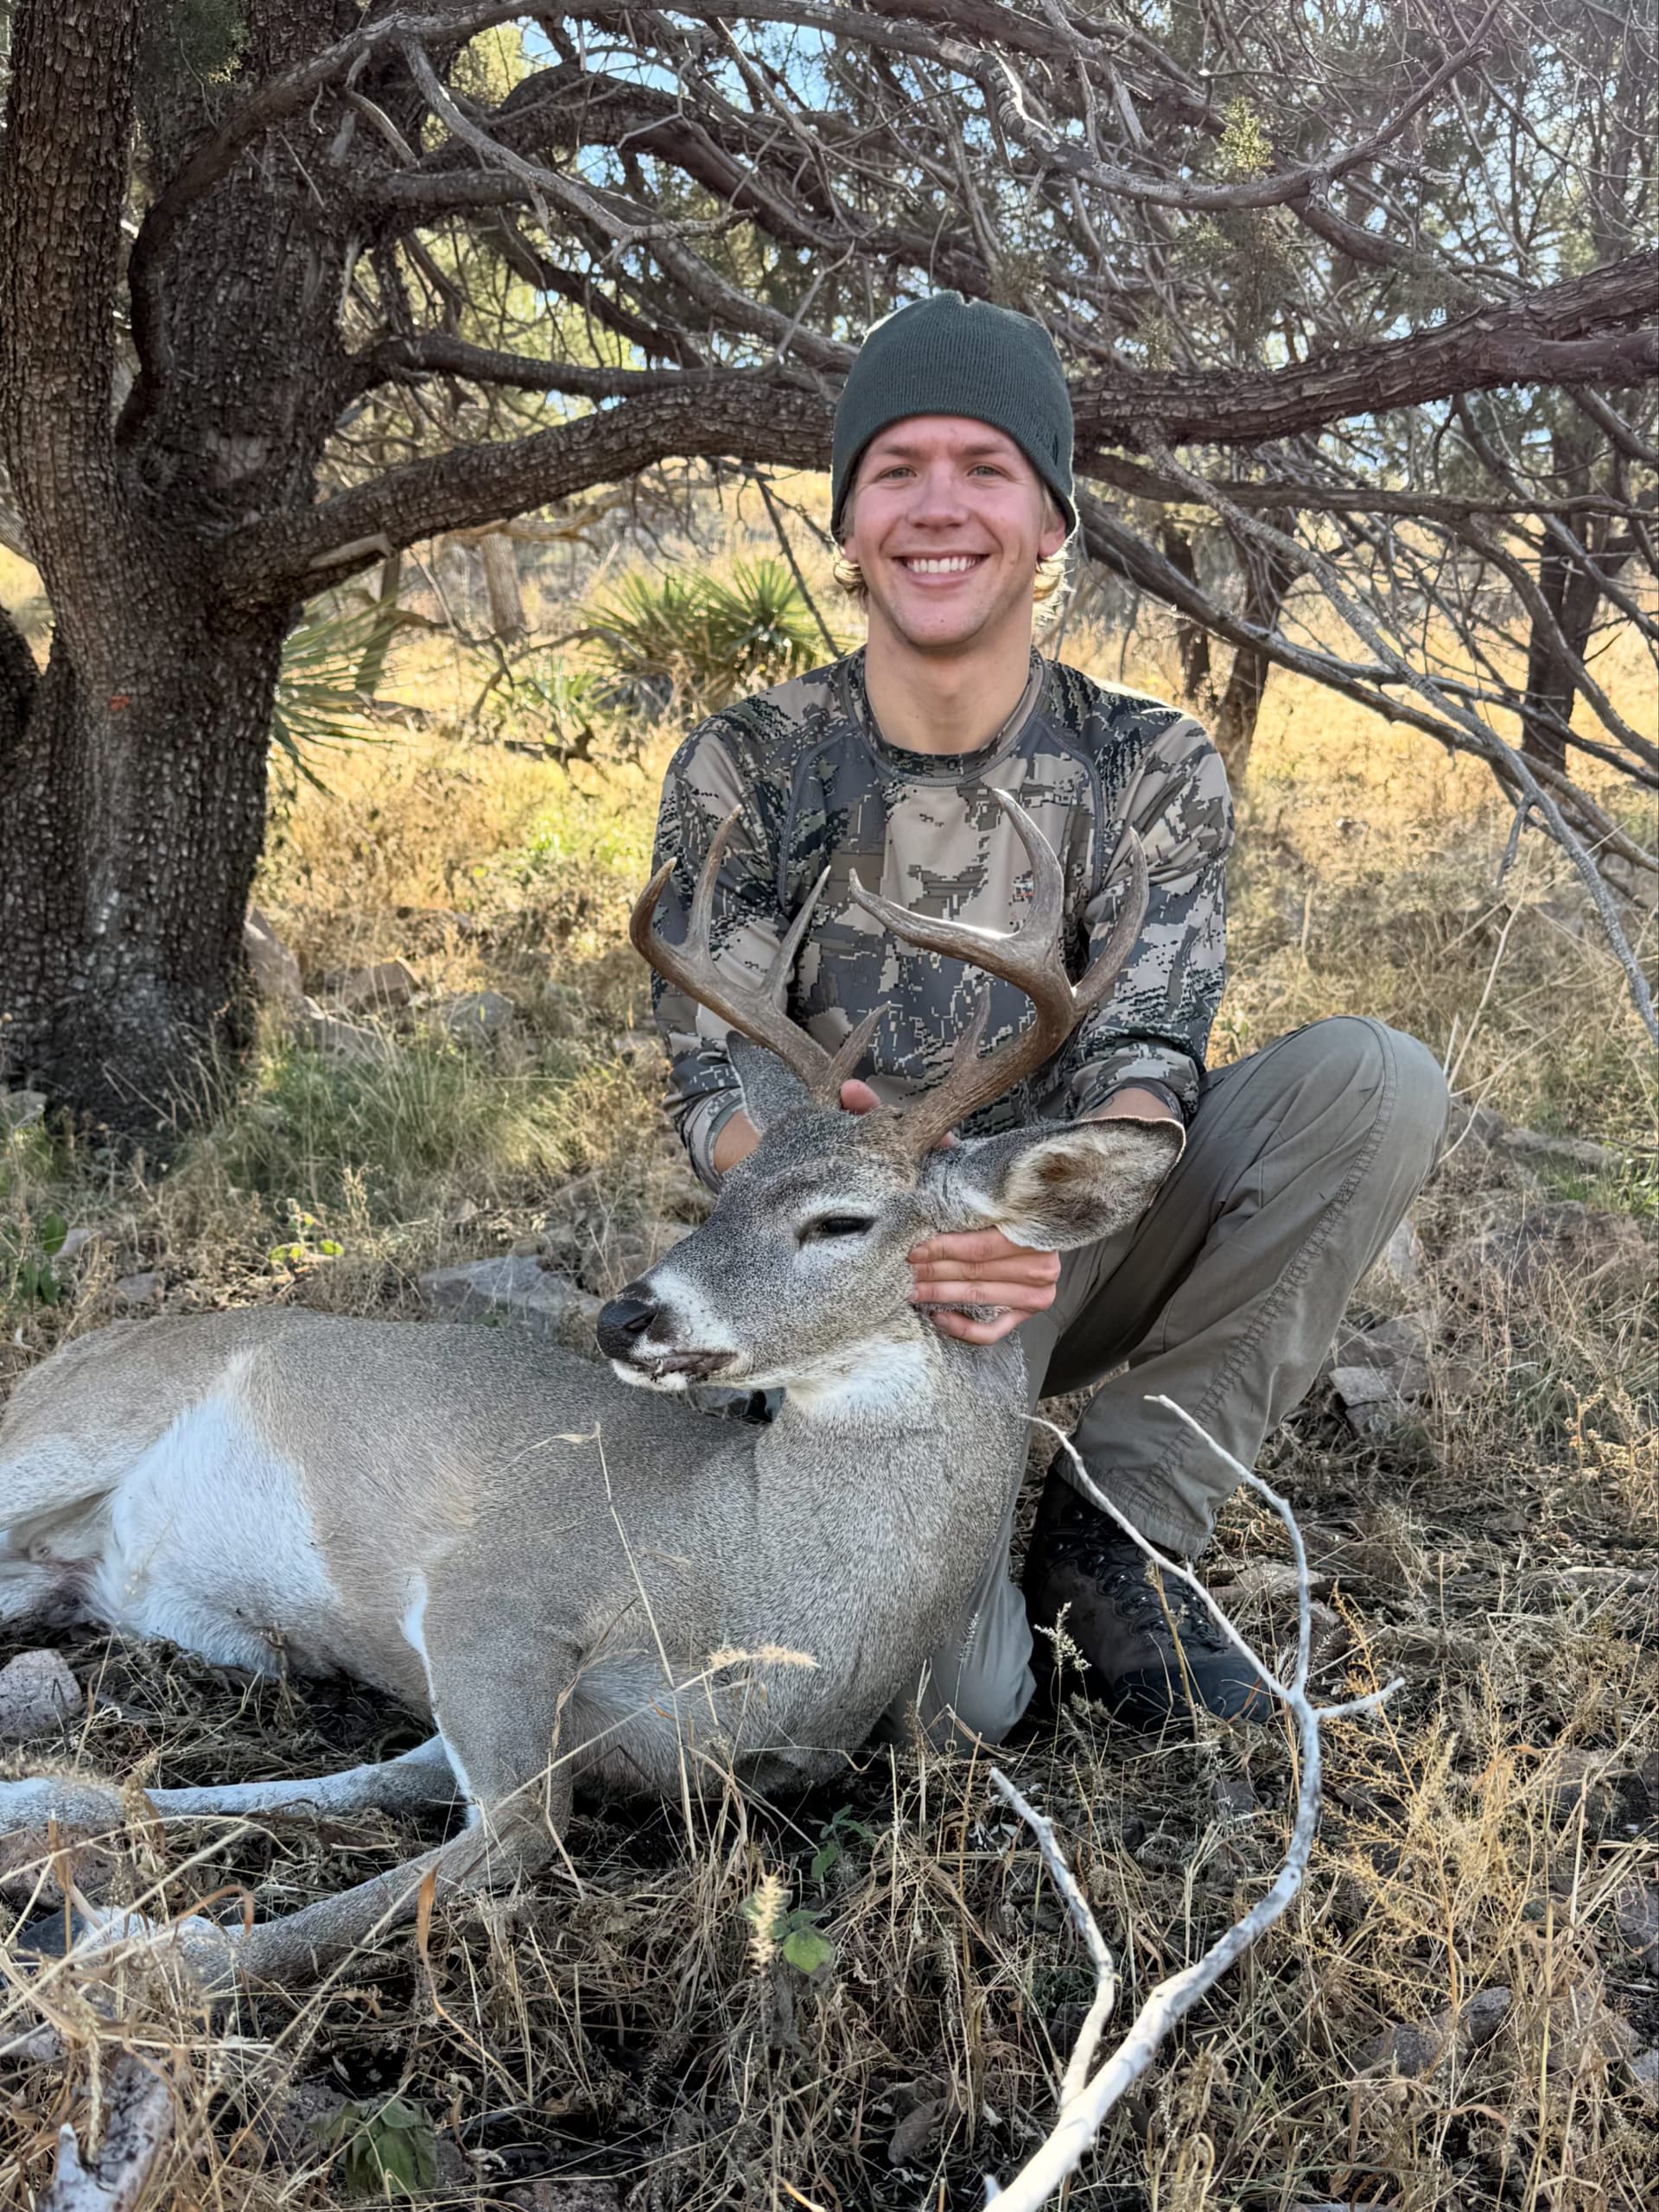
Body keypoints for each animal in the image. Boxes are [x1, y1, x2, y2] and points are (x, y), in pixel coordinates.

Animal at [0, 795, 1180, 1992]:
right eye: (725, 1190)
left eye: (840, 1219)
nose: (626, 1315)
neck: (753, 1586)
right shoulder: (490, 1593)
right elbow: (509, 1831)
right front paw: (136, 1948)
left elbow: (385, 1793)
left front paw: (71, 1850)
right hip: (60, 1433)